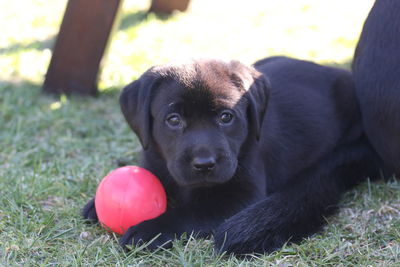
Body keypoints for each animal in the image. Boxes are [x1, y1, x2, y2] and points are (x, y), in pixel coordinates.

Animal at [83, 57, 380, 254]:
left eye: (226, 117)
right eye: (173, 119)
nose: (204, 164)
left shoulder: (240, 197)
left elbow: (190, 213)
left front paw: (149, 230)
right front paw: (95, 206)